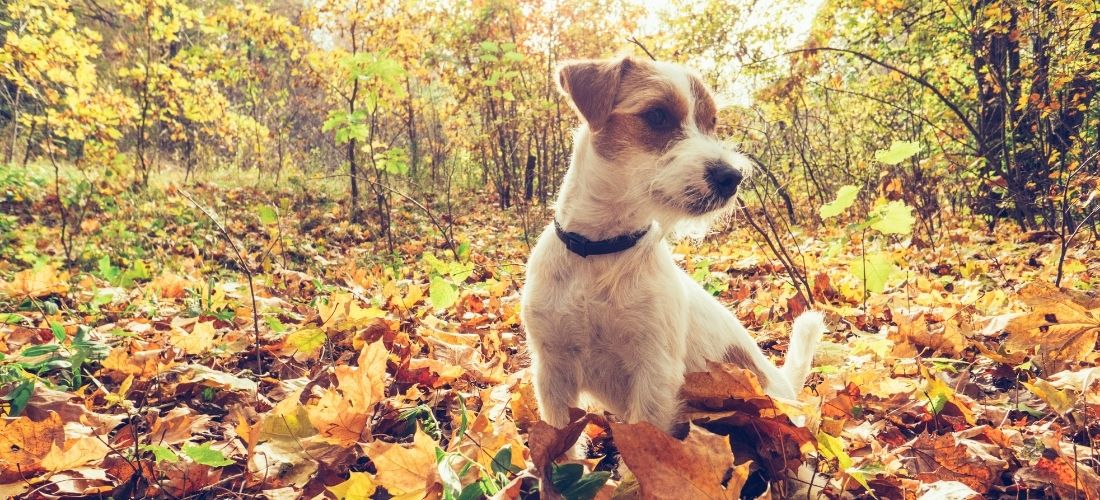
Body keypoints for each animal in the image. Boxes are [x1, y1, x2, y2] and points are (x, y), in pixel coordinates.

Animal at [521, 53, 827, 430]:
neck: (600, 251)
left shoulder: (654, 371)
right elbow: (558, 439)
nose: (732, 177)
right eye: (657, 115)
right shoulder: (552, 370)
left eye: (711, 123)